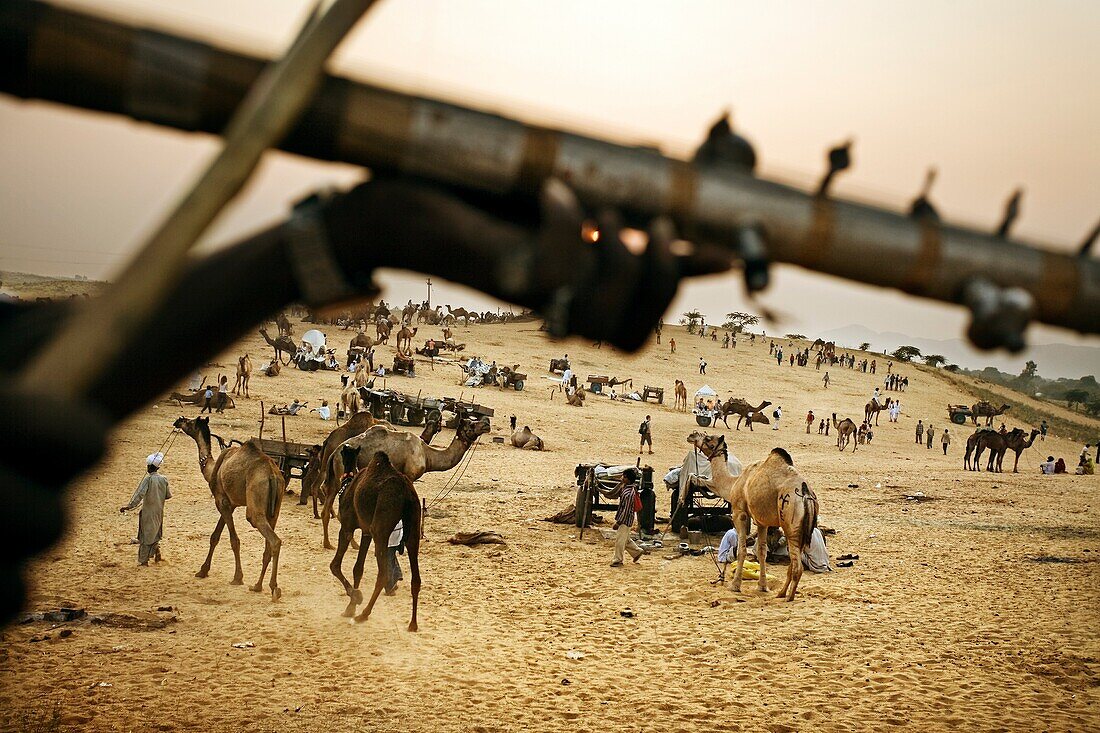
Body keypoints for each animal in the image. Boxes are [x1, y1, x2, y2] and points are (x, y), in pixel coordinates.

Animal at [171, 416, 283, 598]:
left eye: (191, 422)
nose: (178, 420)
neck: (212, 469)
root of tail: (273, 474)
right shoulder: (230, 504)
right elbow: (215, 536)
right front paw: (203, 571)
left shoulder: (221, 501)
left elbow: (233, 540)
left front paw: (237, 577)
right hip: (274, 511)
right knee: (268, 545)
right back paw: (257, 586)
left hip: (255, 507)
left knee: (273, 540)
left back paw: (274, 588)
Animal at [319, 413, 490, 545]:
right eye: (471, 424)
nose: (487, 424)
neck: (427, 455)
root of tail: (334, 452)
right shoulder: (410, 476)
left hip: (335, 477)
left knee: (327, 502)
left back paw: (329, 543)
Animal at [325, 444, 420, 629]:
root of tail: (406, 493)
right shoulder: (366, 532)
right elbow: (358, 569)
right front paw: (350, 608)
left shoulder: (347, 527)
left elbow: (335, 565)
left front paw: (356, 597)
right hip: (413, 526)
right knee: (416, 578)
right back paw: (413, 624)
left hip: (381, 527)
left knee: (383, 574)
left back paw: (364, 614)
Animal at [686, 429, 818, 598]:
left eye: (708, 438)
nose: (692, 435)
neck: (733, 483)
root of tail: (805, 492)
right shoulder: (761, 521)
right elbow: (762, 551)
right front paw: (762, 586)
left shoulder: (739, 513)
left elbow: (741, 550)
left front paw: (735, 585)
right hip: (805, 530)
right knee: (794, 563)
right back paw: (781, 593)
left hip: (791, 525)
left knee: (797, 566)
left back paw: (787, 597)